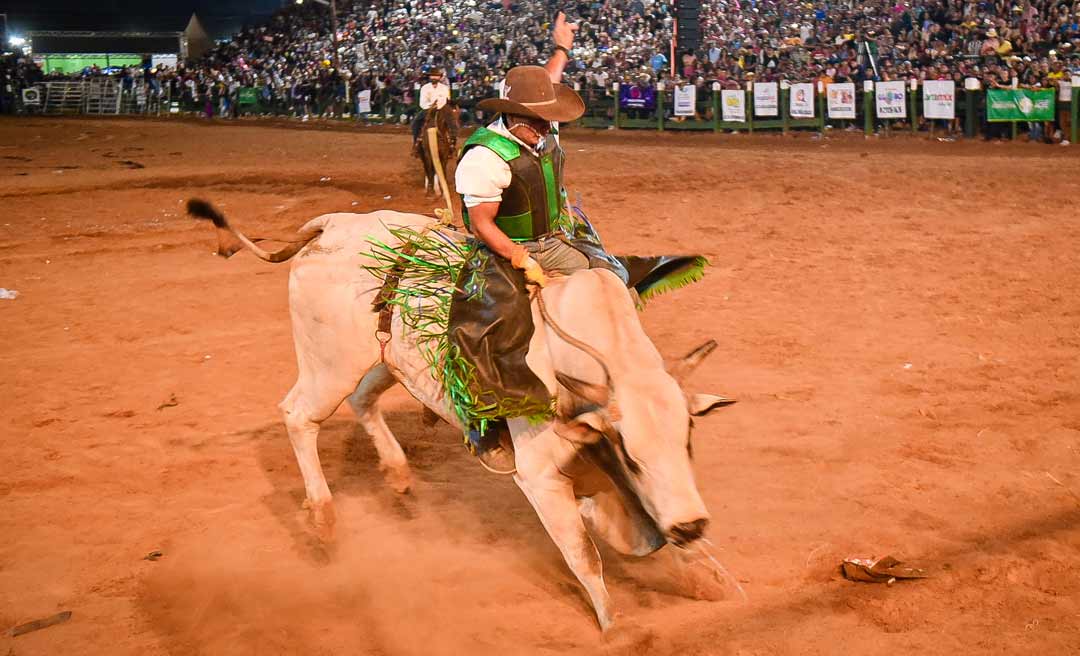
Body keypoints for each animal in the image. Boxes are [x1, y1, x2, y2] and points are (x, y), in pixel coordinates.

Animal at [190, 199, 738, 631]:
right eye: (633, 456)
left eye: (688, 442)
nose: (692, 525)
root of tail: (334, 225)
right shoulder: (540, 474)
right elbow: (583, 555)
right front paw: (614, 627)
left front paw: (712, 578)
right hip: (329, 364)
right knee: (298, 415)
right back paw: (324, 519)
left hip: (390, 360)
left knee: (363, 401)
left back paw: (398, 474)